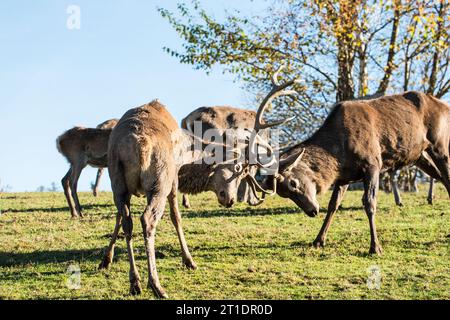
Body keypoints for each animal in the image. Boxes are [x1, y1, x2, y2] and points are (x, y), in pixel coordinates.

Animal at [253, 90, 450, 255]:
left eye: (293, 183)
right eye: (283, 194)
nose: (312, 211)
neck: (338, 153)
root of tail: (445, 106)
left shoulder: (373, 164)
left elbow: (369, 203)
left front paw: (375, 247)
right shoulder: (344, 176)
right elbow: (333, 205)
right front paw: (318, 241)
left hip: (439, 144)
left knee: (447, 177)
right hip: (419, 156)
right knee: (441, 177)